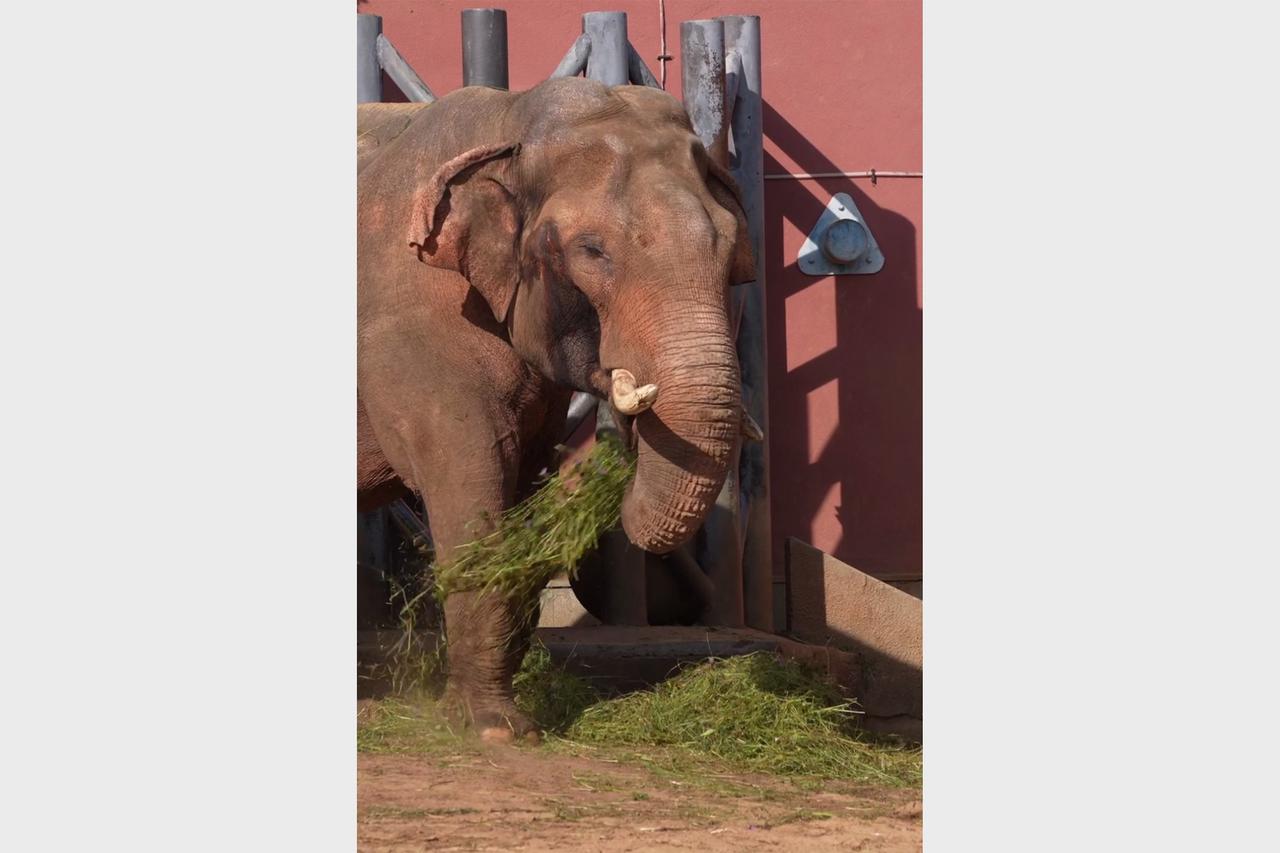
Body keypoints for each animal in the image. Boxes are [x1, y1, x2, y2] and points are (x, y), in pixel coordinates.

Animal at [357, 77, 755, 742]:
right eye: (592, 251)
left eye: (731, 256)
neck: (509, 121)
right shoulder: (411, 332)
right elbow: (471, 473)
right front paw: (494, 729)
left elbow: (515, 472)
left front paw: (488, 716)